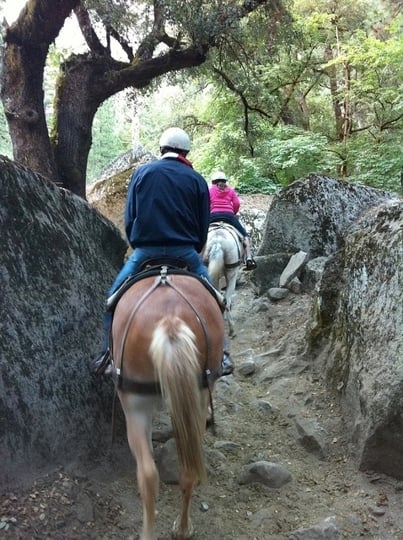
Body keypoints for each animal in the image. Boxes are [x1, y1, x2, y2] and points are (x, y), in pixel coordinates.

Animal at [109, 266, 224, 540]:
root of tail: (170, 320)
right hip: (194, 397)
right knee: (185, 470)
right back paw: (182, 528)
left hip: (135, 407)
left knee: (148, 474)